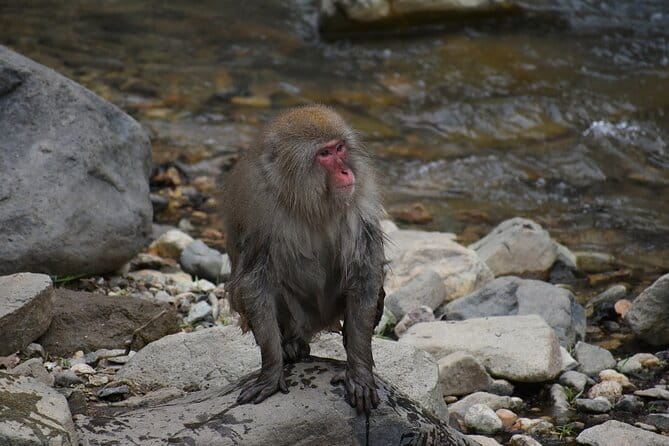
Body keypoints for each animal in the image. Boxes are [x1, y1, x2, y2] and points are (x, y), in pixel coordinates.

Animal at [221, 105, 385, 413]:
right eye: (325, 154)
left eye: (340, 148)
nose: (346, 171)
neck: (306, 199)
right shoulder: (259, 211)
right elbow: (255, 284)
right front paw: (271, 371)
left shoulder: (360, 200)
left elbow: (364, 274)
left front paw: (359, 373)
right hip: (300, 318)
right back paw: (289, 346)